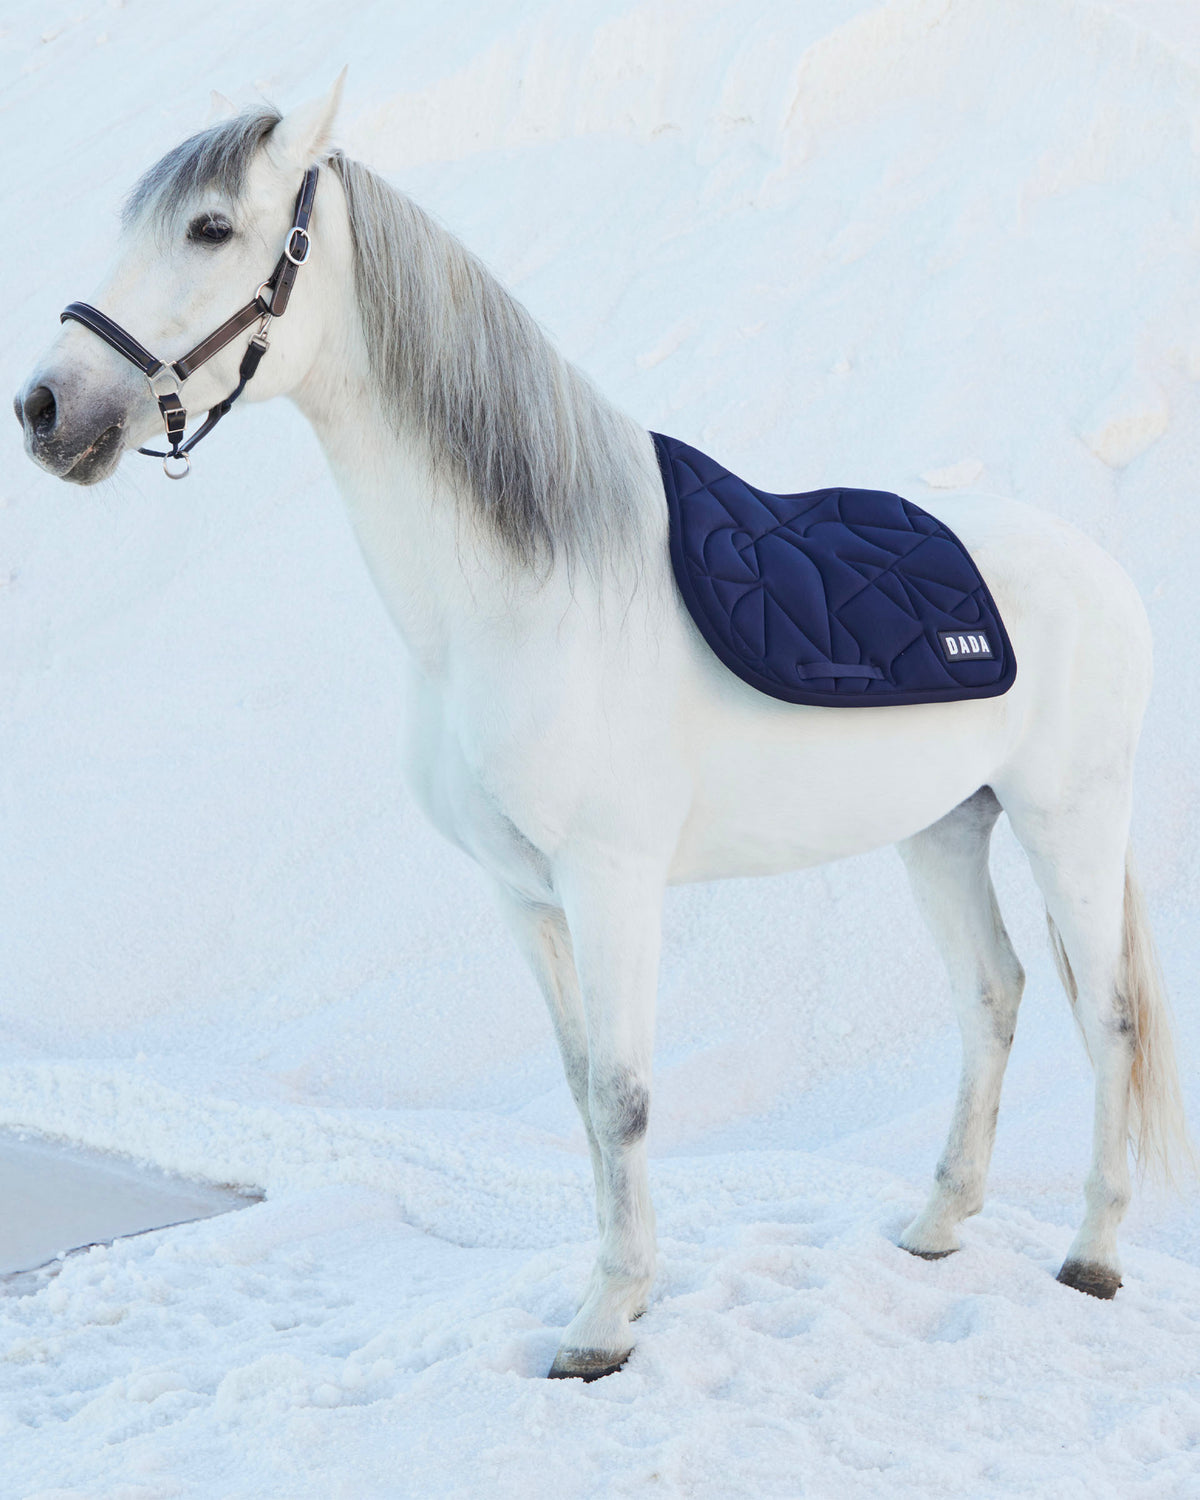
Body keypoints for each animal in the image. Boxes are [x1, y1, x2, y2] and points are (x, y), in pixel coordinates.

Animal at [15, 78, 1190, 1382]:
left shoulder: (612, 882)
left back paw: (1093, 1253)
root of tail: (1099, 570)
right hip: (943, 831)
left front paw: (603, 1325)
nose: (47, 406)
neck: (519, 596)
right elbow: (584, 1091)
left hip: (1068, 821)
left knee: (1111, 1017)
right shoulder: (520, 894)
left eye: (212, 227)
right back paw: (936, 1225)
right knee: (993, 996)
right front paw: (612, 1296)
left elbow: (626, 1096)